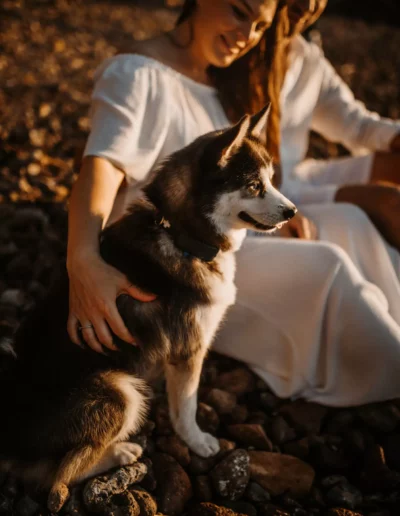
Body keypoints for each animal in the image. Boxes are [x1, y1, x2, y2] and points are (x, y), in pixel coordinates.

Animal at [0, 106, 294, 512]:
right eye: (254, 186)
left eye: (270, 179)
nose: (292, 211)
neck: (181, 235)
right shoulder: (189, 348)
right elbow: (186, 404)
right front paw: (197, 441)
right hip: (121, 389)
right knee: (61, 474)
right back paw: (120, 452)